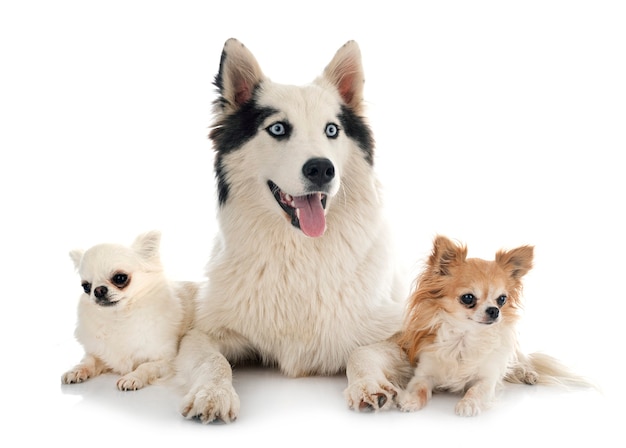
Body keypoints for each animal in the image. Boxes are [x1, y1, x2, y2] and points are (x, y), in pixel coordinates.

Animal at [61, 233, 196, 390]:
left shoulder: (167, 361)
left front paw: (132, 378)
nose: (98, 290)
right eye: (86, 287)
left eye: (120, 278)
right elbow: (89, 360)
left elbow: (145, 366)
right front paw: (76, 370)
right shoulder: (102, 353)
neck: (120, 316)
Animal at [174, 38, 410, 424]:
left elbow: (362, 352)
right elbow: (214, 361)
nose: (322, 169)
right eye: (278, 129)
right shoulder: (202, 332)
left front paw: (368, 384)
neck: (298, 251)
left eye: (332, 130)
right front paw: (213, 394)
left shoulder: (404, 326)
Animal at [394, 236, 588, 414]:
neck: (464, 340)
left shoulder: (487, 379)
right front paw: (410, 400)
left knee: (520, 362)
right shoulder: (424, 373)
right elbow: (420, 388)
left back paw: (527, 373)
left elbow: (475, 390)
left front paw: (468, 405)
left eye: (502, 299)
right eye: (468, 298)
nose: (494, 310)